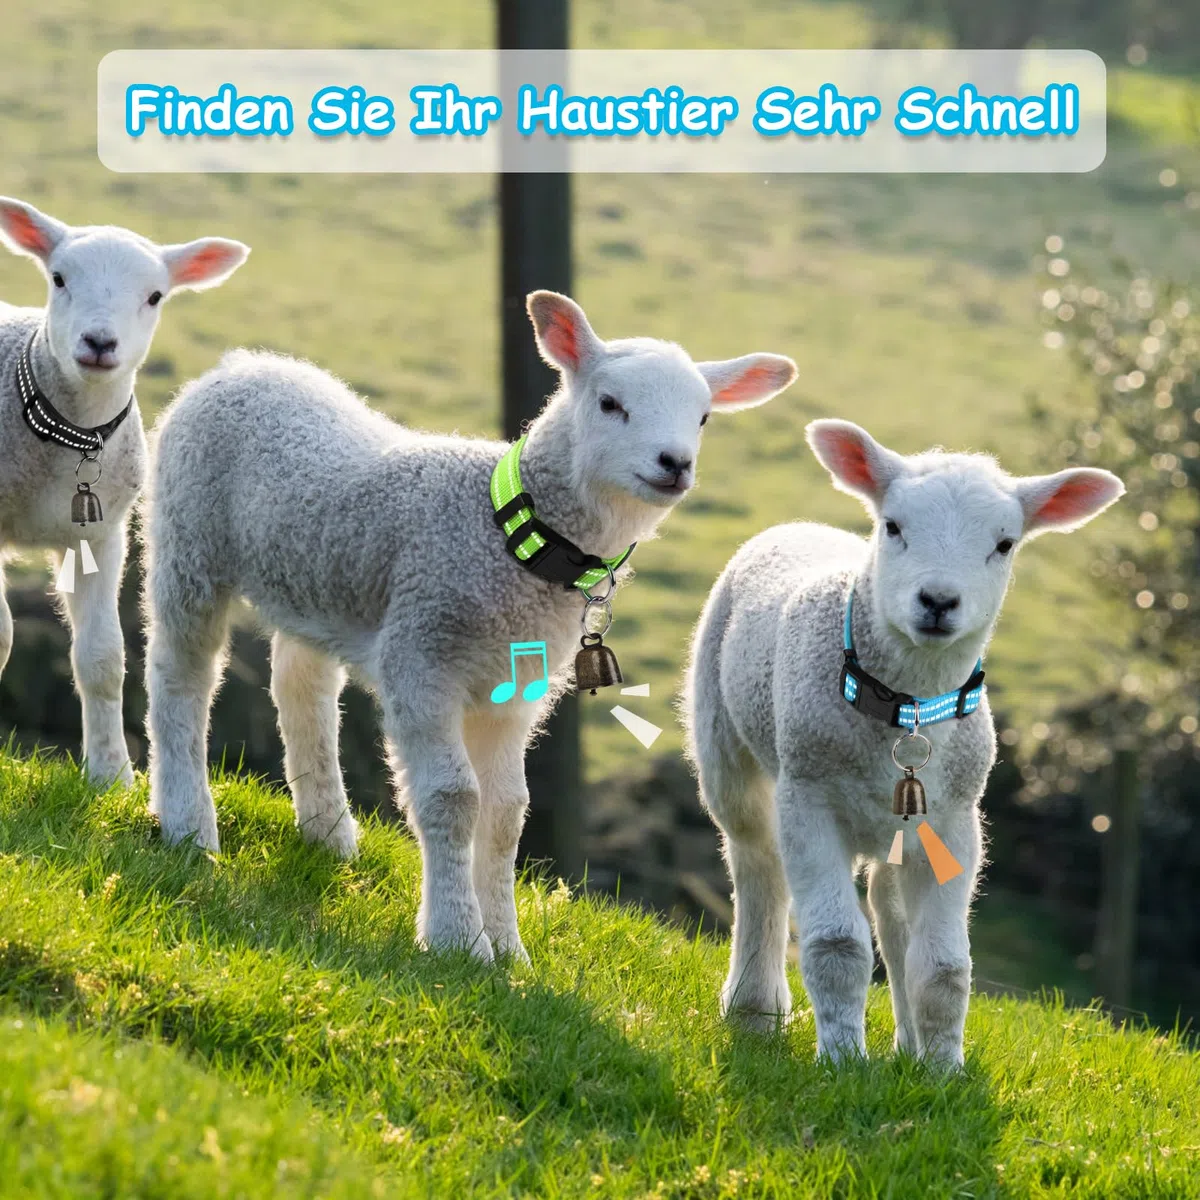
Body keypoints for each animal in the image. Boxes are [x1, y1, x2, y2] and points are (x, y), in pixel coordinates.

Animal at [0, 197, 248, 785]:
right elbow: (0, 634)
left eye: (155, 296)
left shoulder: (101, 535)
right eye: (59, 278)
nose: (99, 343)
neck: (68, 437)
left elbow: (103, 658)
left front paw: (111, 772)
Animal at [142, 291, 797, 962]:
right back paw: (187, 823)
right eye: (610, 403)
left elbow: (507, 813)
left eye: (703, 418)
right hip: (187, 538)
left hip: (313, 581)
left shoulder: (514, 689)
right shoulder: (422, 654)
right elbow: (454, 799)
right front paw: (457, 940)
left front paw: (508, 949)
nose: (675, 464)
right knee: (180, 675)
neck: (511, 536)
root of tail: (240, 366)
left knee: (302, 686)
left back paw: (327, 832)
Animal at [682, 420, 1123, 1065]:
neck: (907, 707)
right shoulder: (808, 798)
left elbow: (943, 968)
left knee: (888, 910)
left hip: (898, 824)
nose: (938, 601)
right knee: (757, 865)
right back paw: (754, 1010)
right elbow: (837, 945)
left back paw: (907, 1045)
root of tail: (802, 526)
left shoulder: (955, 821)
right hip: (725, 743)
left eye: (1005, 544)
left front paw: (941, 1070)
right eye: (893, 526)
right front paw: (842, 1061)